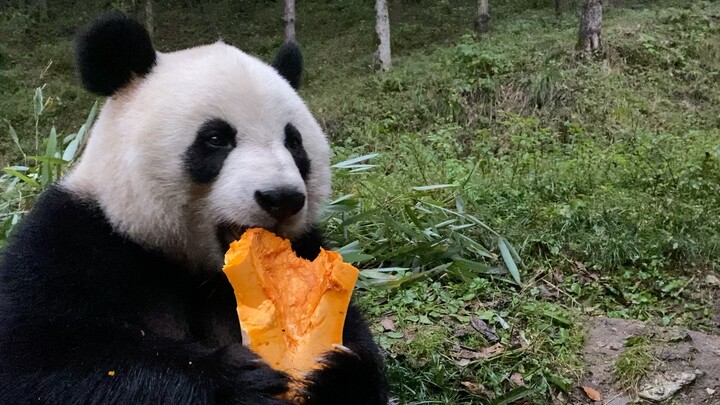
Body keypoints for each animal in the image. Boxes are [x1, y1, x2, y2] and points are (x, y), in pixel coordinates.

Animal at [0, 12, 388, 404]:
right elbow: (44, 362)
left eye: (294, 142)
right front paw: (236, 380)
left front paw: (334, 376)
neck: (199, 271)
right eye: (216, 139)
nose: (282, 198)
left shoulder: (308, 246)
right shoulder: (71, 245)